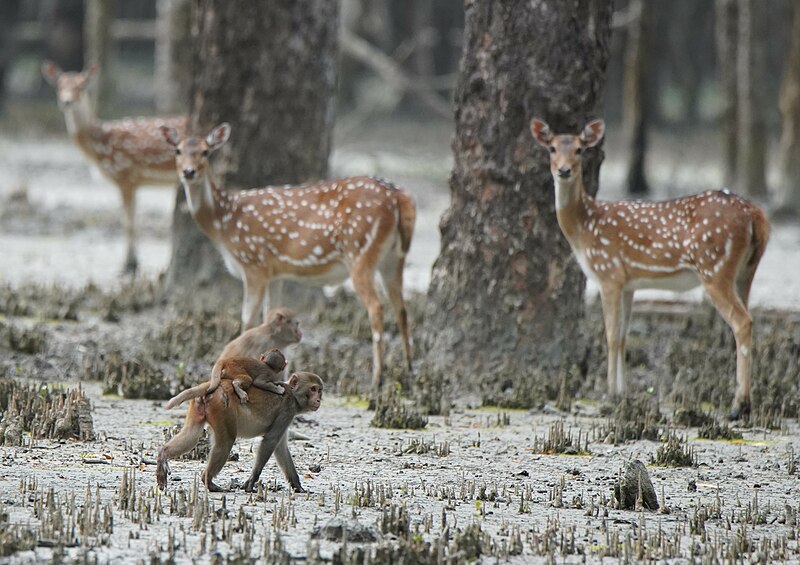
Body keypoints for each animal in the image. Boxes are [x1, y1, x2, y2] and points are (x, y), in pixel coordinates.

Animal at [43, 61, 188, 274]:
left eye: (82, 86)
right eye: (59, 86)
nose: (67, 101)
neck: (99, 146)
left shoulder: (124, 175)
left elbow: (127, 222)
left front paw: (129, 265)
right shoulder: (134, 182)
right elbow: (132, 219)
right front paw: (132, 264)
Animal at [159, 121, 416, 398]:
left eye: (206, 152)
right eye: (177, 150)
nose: (188, 172)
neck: (224, 224)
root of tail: (400, 198)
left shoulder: (254, 262)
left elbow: (247, 318)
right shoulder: (276, 273)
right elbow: (269, 315)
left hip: (360, 253)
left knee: (377, 308)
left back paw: (377, 380)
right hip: (393, 258)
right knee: (402, 309)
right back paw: (408, 373)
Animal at [532, 117, 768, 416]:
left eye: (579, 149)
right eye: (551, 148)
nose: (564, 170)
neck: (584, 229)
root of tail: (755, 214)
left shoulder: (608, 272)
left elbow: (610, 335)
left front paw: (608, 395)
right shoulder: (629, 284)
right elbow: (623, 335)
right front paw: (622, 393)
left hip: (715, 268)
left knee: (742, 321)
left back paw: (739, 405)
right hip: (746, 271)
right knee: (747, 317)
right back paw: (744, 401)